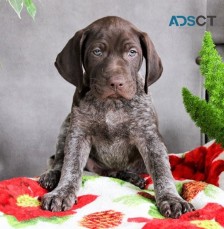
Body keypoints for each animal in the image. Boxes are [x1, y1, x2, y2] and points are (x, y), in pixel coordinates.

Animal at [39, 16, 195, 218]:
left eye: (132, 52)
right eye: (97, 52)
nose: (116, 83)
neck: (112, 104)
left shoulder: (149, 136)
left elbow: (162, 171)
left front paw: (172, 198)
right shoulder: (78, 134)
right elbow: (70, 166)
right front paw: (62, 192)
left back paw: (131, 177)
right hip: (66, 125)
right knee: (59, 159)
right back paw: (52, 175)